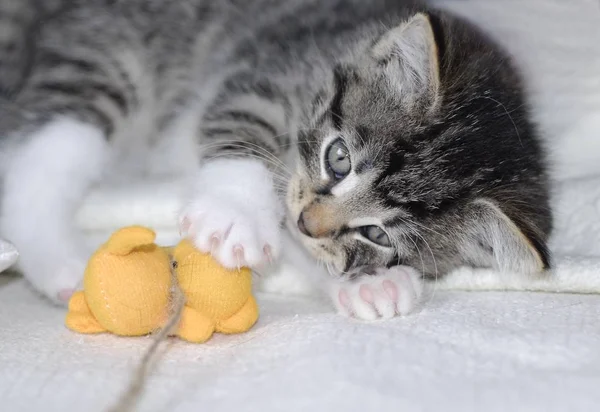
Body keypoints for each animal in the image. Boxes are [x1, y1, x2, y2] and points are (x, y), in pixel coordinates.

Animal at [0, 0, 548, 318]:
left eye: (377, 234)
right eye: (339, 158)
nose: (308, 221)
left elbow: (304, 251)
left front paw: (372, 285)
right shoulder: (262, 73)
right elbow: (241, 125)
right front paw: (234, 213)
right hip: (110, 57)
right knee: (38, 161)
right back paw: (63, 262)